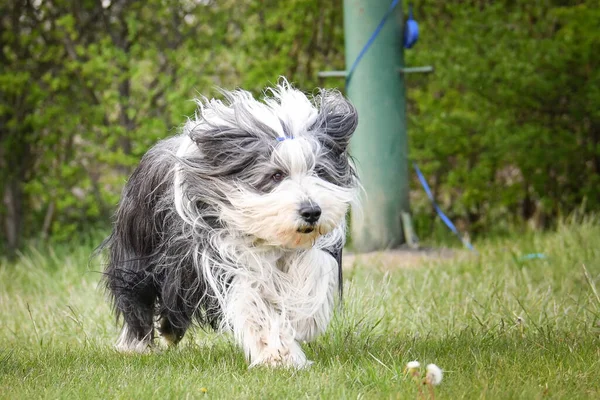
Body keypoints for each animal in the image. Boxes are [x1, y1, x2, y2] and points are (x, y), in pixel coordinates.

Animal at [99, 79, 358, 368]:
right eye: (276, 175)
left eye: (319, 171)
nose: (312, 212)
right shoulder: (226, 257)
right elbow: (254, 302)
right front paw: (280, 355)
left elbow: (313, 274)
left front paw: (305, 319)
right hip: (139, 253)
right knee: (137, 297)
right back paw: (136, 345)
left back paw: (168, 332)